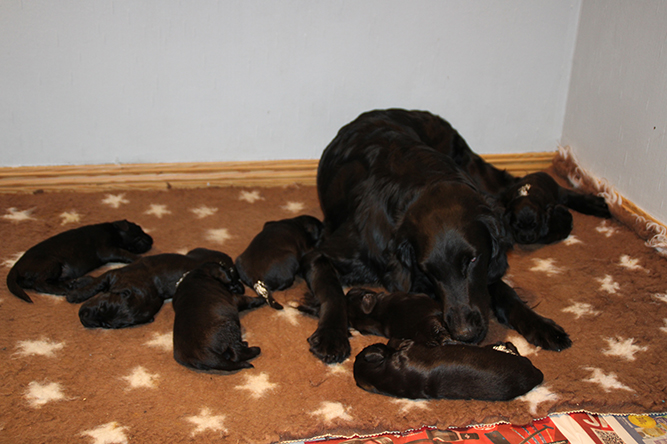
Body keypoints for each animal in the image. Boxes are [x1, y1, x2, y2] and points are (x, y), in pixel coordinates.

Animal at [6, 220, 153, 303]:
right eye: (139, 229)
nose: (151, 240)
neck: (112, 230)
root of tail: (15, 267)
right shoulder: (107, 249)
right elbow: (126, 253)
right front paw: (139, 258)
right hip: (51, 263)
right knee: (39, 284)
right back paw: (62, 290)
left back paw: (71, 284)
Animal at [74, 248, 243, 329]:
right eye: (101, 306)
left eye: (106, 325)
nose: (82, 317)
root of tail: (229, 262)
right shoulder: (113, 274)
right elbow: (95, 284)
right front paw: (78, 287)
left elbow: (95, 283)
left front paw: (73, 294)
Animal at [305, 110, 571, 364]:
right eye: (428, 269)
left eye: (472, 260)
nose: (465, 334)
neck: (424, 181)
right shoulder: (321, 253)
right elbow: (332, 291)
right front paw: (331, 335)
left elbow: (505, 290)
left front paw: (540, 324)